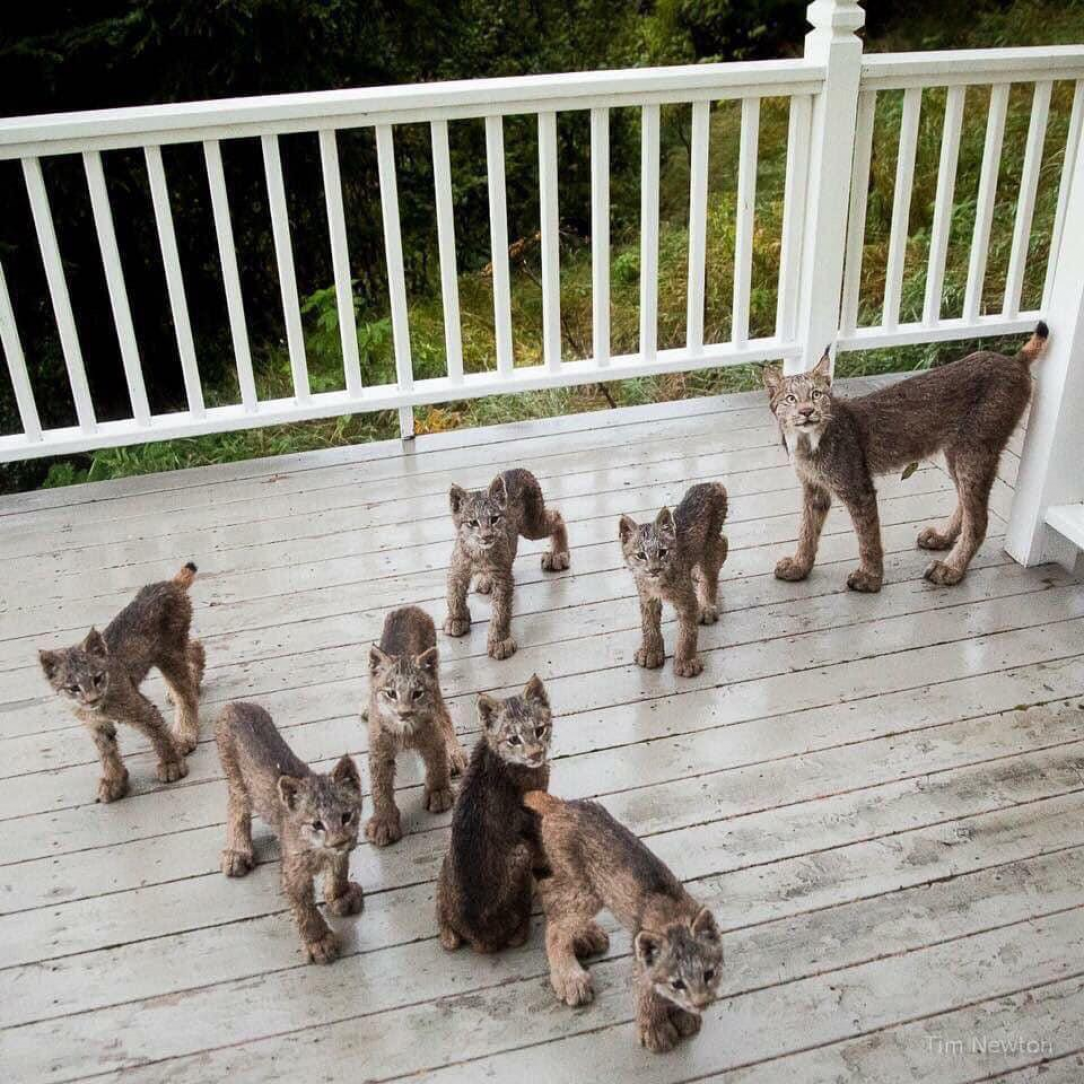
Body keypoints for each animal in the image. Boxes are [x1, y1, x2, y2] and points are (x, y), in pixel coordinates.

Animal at [39, 563, 204, 802]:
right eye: (73, 688)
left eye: (97, 678)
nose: (92, 700)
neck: (99, 706)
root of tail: (167, 584)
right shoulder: (96, 724)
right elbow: (107, 753)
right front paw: (114, 781)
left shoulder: (139, 708)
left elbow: (158, 733)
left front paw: (170, 764)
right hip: (171, 650)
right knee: (195, 647)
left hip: (168, 652)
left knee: (186, 695)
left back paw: (183, 735)